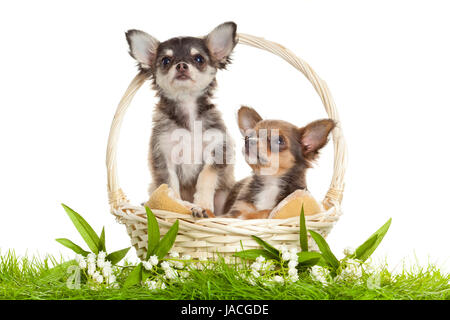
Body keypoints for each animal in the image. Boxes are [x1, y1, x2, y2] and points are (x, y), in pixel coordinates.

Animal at [125, 22, 237, 218]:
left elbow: (206, 177)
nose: (182, 66)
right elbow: (170, 186)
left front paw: (202, 206)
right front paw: (177, 206)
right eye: (165, 61)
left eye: (199, 59)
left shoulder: (217, 150)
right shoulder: (163, 156)